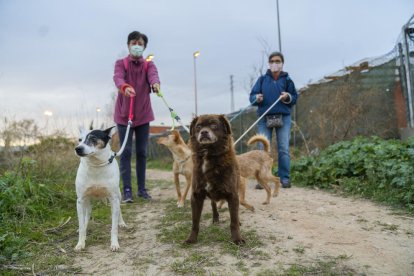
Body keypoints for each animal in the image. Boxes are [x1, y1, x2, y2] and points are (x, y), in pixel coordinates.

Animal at [185, 115, 246, 246]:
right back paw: (215, 217)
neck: (209, 155)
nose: (204, 132)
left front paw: (237, 238)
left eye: (214, 125)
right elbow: (195, 221)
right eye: (198, 127)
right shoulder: (196, 195)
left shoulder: (232, 195)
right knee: (213, 204)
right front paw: (191, 239)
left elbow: (233, 220)